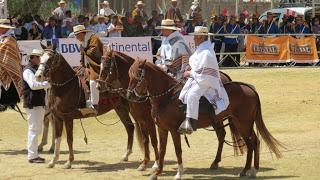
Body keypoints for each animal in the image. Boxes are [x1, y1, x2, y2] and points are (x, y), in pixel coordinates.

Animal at [97, 50, 245, 172]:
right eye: (99, 65)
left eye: (106, 67)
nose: (99, 86)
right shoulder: (140, 120)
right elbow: (145, 140)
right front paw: (144, 163)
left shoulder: (150, 121)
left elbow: (154, 141)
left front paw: (155, 164)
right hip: (216, 119)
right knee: (221, 135)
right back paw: (215, 162)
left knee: (221, 135)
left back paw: (215, 162)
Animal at [126, 59, 284, 179]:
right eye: (129, 75)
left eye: (138, 75)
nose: (129, 96)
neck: (167, 97)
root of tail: (249, 89)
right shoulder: (162, 128)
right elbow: (162, 149)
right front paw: (157, 172)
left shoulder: (174, 130)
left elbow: (178, 150)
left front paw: (179, 173)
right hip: (238, 123)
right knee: (248, 141)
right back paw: (244, 169)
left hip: (243, 123)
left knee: (253, 142)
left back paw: (250, 170)